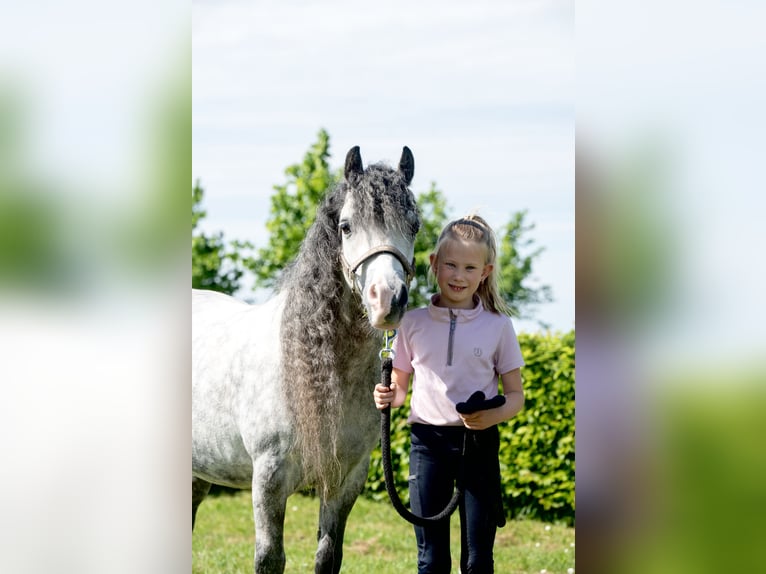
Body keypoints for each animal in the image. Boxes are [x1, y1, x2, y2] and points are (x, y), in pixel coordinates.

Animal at [192, 145, 421, 573]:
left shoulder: (346, 479)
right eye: (346, 226)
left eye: (414, 225)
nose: (388, 299)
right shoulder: (269, 479)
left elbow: (328, 555)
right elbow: (270, 558)